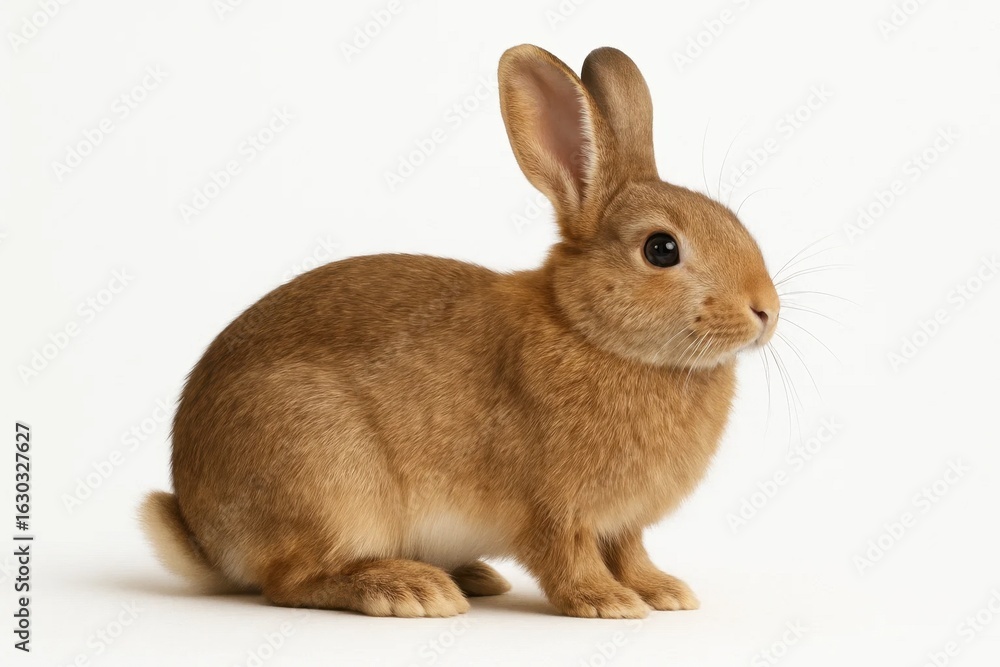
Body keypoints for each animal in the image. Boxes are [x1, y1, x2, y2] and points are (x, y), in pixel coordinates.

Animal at [141, 44, 779, 619]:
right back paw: (412, 590)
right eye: (661, 249)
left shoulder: (623, 524)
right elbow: (568, 557)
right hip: (328, 480)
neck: (591, 332)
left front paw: (665, 592)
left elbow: (631, 552)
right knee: (291, 580)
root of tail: (205, 535)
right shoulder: (555, 508)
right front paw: (608, 604)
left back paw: (471, 576)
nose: (766, 310)